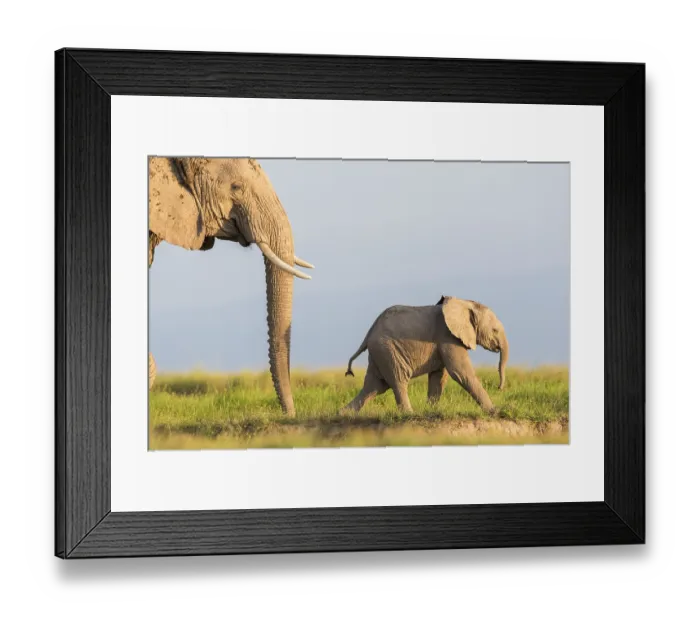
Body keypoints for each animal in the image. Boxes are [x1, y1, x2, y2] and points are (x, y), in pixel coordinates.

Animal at [341, 295, 509, 415]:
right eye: (494, 330)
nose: (499, 388)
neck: (465, 303)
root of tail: (369, 332)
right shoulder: (448, 336)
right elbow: (460, 372)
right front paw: (495, 411)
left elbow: (439, 376)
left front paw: (431, 411)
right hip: (387, 350)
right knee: (398, 380)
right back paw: (409, 414)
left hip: (379, 353)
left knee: (374, 386)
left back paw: (343, 414)